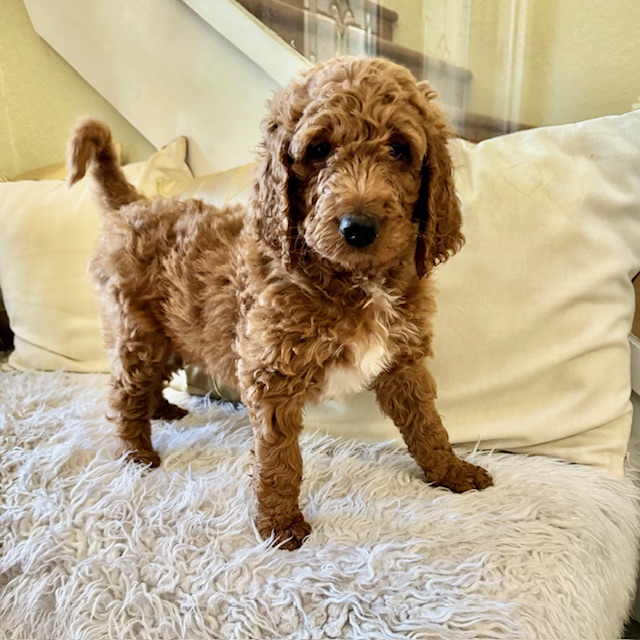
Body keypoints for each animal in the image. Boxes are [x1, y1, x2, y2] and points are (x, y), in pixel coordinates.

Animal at [68, 56, 492, 550]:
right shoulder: (271, 372)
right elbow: (279, 458)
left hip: (168, 329)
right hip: (136, 328)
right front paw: (278, 525)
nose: (359, 227)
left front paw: (451, 470)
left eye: (399, 149)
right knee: (124, 389)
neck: (352, 278)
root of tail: (133, 205)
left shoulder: (402, 361)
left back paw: (162, 410)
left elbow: (427, 423)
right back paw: (137, 451)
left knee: (151, 376)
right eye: (320, 149)